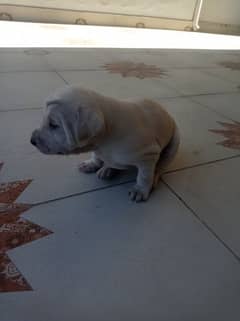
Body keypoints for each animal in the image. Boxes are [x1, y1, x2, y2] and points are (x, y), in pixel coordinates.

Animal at [31, 85, 179, 200]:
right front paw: (92, 164)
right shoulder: (97, 148)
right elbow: (96, 155)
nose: (32, 140)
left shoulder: (148, 154)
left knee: (161, 166)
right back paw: (107, 169)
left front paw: (140, 190)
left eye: (54, 125)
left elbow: (144, 175)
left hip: (174, 142)